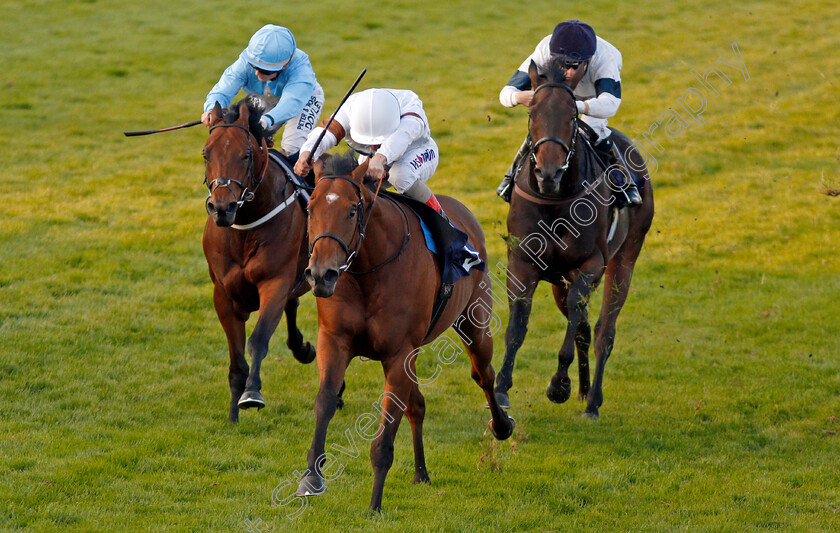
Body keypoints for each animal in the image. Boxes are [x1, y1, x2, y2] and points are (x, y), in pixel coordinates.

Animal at [204, 100, 322, 422]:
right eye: (206, 154)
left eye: (245, 155)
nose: (222, 208)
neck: (246, 226)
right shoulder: (224, 294)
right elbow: (236, 360)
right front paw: (233, 416)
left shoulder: (275, 283)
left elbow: (257, 340)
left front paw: (252, 394)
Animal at [298, 152, 516, 510]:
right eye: (310, 208)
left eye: (352, 209)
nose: (321, 274)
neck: (368, 270)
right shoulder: (335, 340)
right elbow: (326, 401)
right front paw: (311, 477)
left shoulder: (399, 353)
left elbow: (385, 434)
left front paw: (374, 505)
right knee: (418, 406)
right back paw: (421, 472)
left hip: (475, 322)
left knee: (483, 373)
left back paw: (501, 426)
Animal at [492, 61, 656, 420]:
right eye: (532, 113)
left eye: (571, 117)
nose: (548, 173)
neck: (554, 199)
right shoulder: (523, 263)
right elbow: (517, 327)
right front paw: (500, 389)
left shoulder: (591, 264)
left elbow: (579, 324)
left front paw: (558, 384)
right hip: (559, 280)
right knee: (581, 323)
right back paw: (583, 389)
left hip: (624, 258)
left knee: (604, 331)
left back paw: (592, 400)